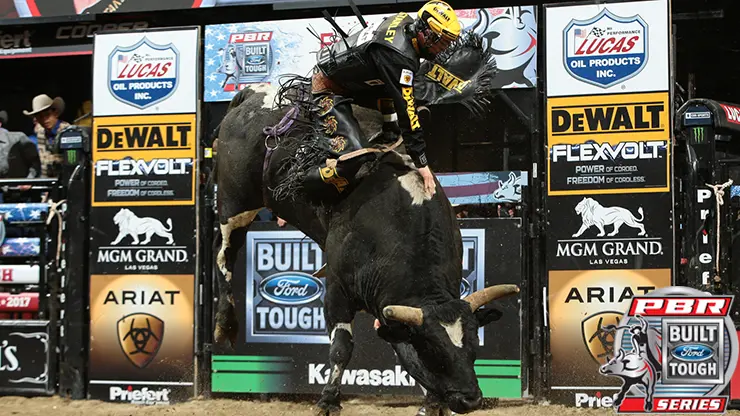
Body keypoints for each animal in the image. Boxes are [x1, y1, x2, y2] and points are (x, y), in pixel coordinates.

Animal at [211, 32, 516, 415]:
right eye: (433, 351)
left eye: (474, 346)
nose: (470, 398)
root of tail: (252, 94)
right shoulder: (337, 289)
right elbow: (342, 347)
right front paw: (328, 401)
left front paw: (431, 402)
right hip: (235, 203)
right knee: (224, 253)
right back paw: (225, 324)